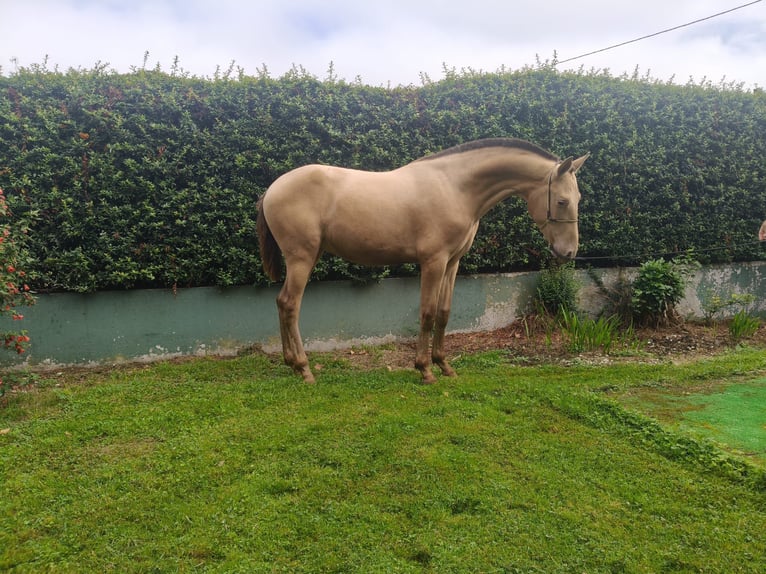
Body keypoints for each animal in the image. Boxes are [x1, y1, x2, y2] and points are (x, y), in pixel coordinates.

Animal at [256, 138, 589, 384]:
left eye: (578, 199)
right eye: (562, 201)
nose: (569, 252)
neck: (455, 187)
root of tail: (272, 188)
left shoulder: (452, 263)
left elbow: (443, 312)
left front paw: (444, 365)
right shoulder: (433, 262)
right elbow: (427, 313)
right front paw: (425, 369)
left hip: (306, 258)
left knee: (281, 302)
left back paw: (291, 363)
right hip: (302, 258)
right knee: (291, 305)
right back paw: (304, 369)